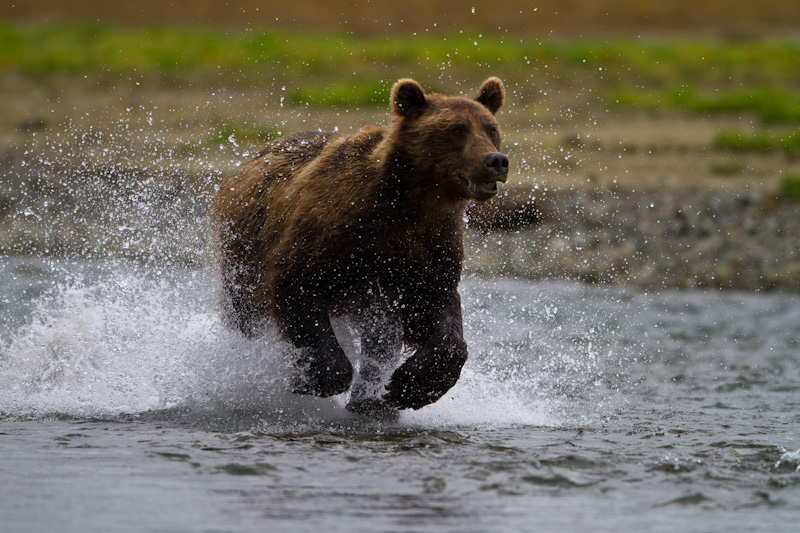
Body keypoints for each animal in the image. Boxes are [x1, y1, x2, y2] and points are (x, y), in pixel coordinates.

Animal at [212, 77, 510, 414]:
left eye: (491, 128)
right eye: (457, 129)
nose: (496, 161)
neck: (410, 203)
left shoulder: (428, 249)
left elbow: (439, 314)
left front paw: (408, 386)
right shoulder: (334, 229)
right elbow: (297, 282)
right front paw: (315, 378)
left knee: (381, 336)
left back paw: (370, 400)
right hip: (244, 249)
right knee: (245, 312)